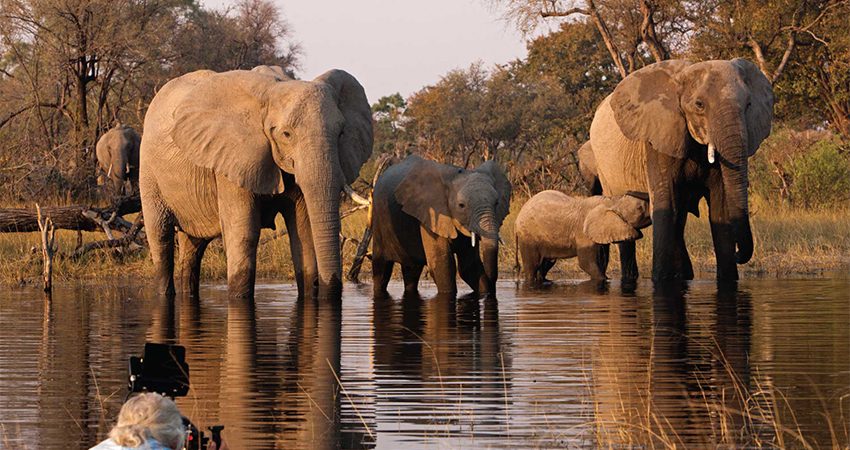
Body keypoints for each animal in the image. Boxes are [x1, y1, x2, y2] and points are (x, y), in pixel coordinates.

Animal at [140, 64, 372, 298]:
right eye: (286, 134)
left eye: (341, 133)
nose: (326, 287)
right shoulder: (232, 158)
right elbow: (244, 233)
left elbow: (303, 231)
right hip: (148, 171)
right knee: (160, 237)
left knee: (193, 246)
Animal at [372, 155, 510, 298]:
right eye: (461, 205)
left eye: (497, 202)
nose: (492, 288)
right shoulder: (431, 216)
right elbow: (443, 265)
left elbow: (469, 266)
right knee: (381, 269)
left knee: (412, 270)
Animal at [510, 191, 648, 284]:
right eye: (640, 208)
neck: (612, 201)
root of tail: (516, 221)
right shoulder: (583, 233)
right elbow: (586, 262)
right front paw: (603, 280)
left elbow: (602, 260)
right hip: (528, 237)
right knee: (532, 266)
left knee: (545, 264)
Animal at [588, 57, 772, 280]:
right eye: (699, 105)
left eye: (748, 105)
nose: (739, 254)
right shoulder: (658, 138)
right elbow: (666, 206)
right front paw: (660, 281)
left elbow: (720, 208)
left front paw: (728, 279)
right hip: (604, 167)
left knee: (680, 218)